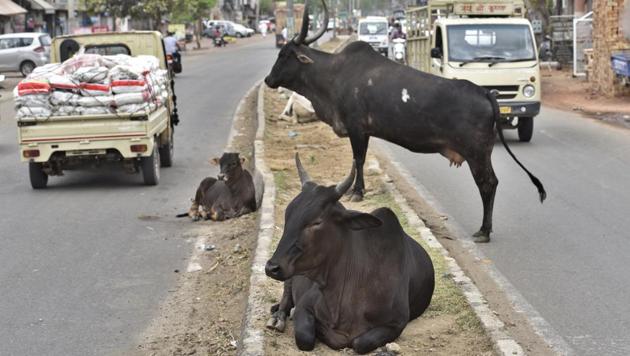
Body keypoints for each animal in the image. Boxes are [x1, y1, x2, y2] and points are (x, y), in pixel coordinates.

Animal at [264, 0, 544, 243]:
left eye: (284, 54)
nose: (267, 79)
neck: (333, 75)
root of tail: (485, 92)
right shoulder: (364, 131)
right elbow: (359, 160)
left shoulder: (356, 128)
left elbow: (358, 160)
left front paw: (357, 192)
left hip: (478, 153)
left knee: (488, 184)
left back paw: (484, 230)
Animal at [264, 154, 436, 354]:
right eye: (287, 215)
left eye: (317, 222)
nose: (271, 267)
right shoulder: (304, 306)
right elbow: (305, 338)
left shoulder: (397, 323)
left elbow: (359, 343)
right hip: (290, 277)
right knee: (286, 298)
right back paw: (277, 317)